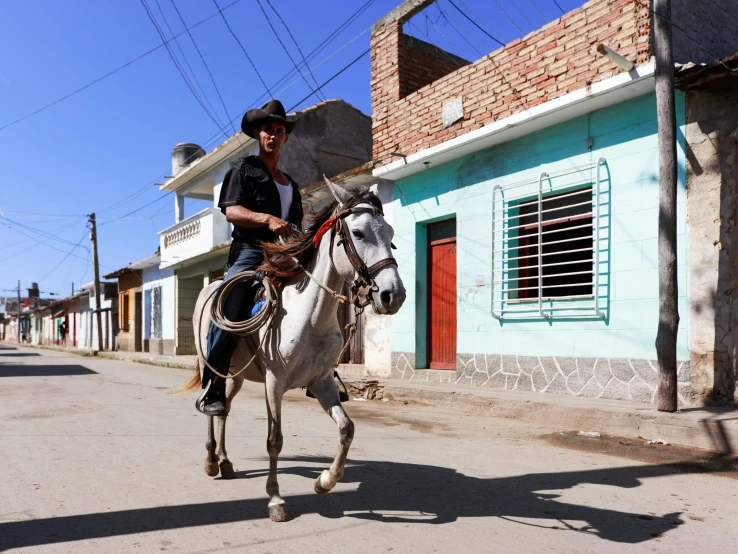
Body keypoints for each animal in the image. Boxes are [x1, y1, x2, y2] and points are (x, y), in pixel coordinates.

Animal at [182, 179, 406, 520]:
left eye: (390, 234)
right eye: (358, 233)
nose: (394, 295)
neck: (310, 315)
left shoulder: (322, 382)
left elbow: (347, 429)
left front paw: (325, 481)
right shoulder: (274, 383)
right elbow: (274, 440)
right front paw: (275, 499)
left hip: (237, 376)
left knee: (224, 410)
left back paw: (225, 461)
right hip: (212, 363)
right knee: (211, 403)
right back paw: (210, 461)